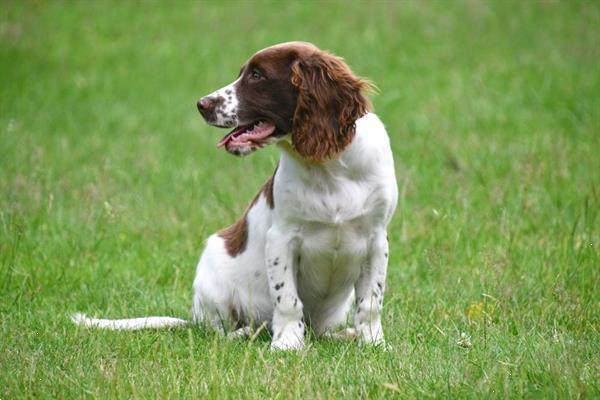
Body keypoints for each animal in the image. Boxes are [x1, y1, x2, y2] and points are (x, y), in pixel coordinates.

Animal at [71, 41, 398, 350]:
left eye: (257, 75)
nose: (201, 104)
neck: (328, 167)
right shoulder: (282, 237)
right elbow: (288, 300)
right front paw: (287, 344)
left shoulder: (376, 239)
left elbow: (371, 301)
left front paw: (373, 343)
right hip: (212, 279)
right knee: (219, 332)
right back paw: (247, 333)